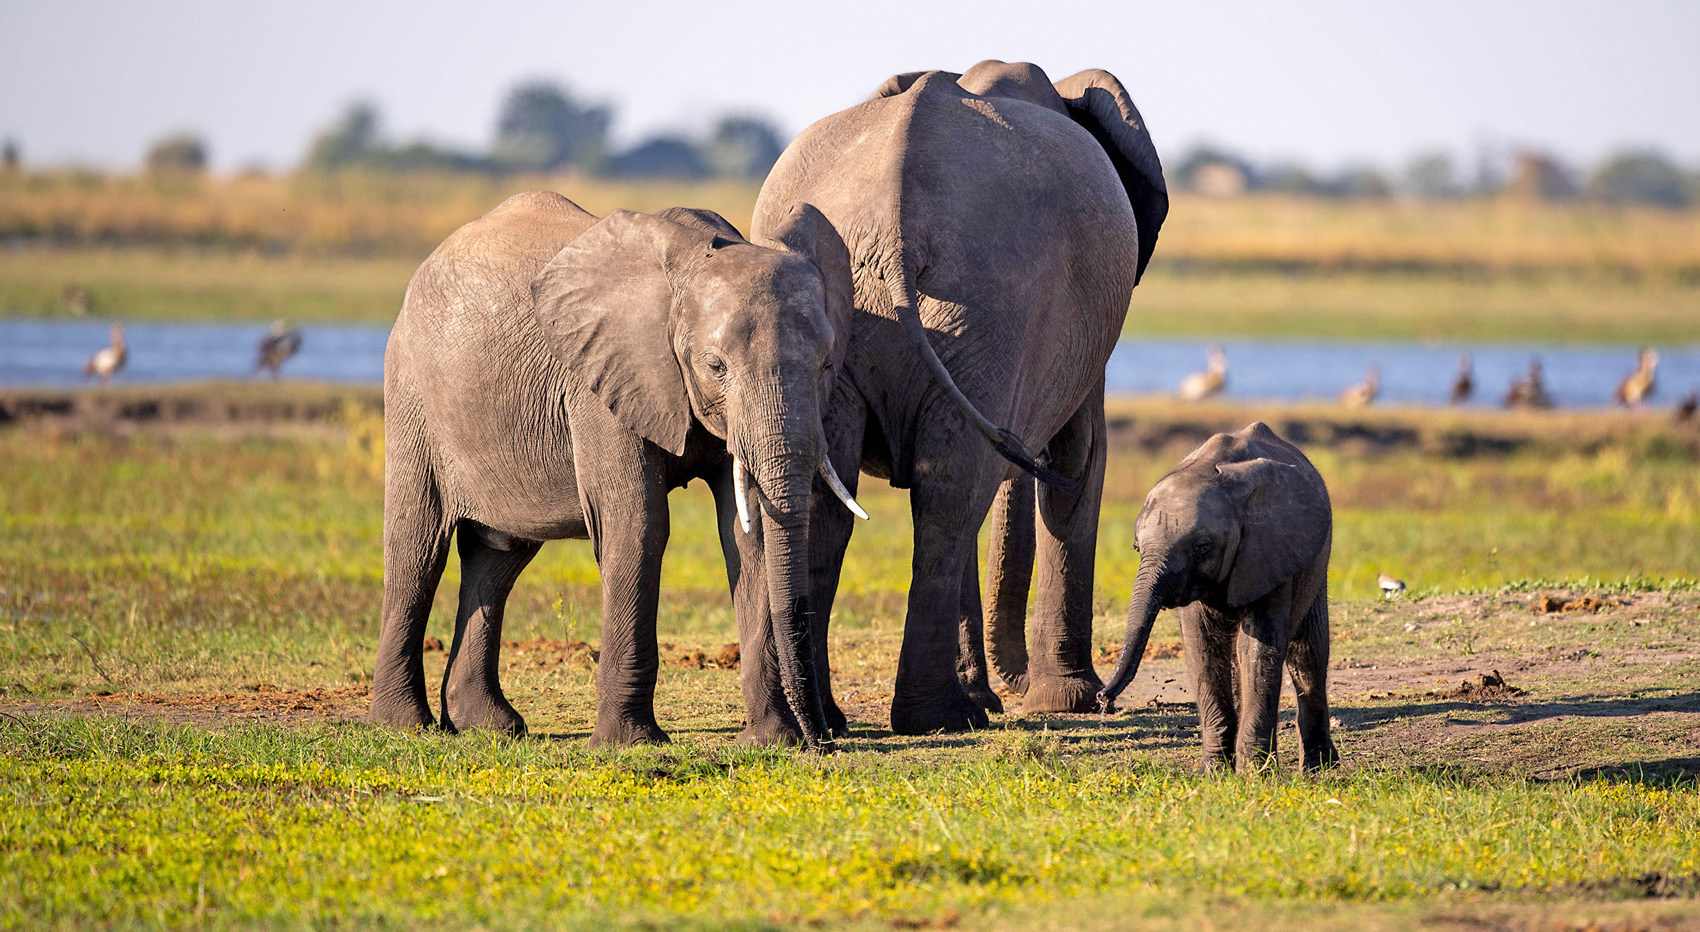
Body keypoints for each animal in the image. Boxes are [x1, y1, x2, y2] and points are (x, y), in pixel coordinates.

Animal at [368, 189, 860, 749]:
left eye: (826, 365)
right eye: (715, 366)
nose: (824, 739)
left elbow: (745, 532)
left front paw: (773, 742)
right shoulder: (598, 385)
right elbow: (638, 525)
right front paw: (631, 743)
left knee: (497, 558)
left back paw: (491, 726)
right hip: (411, 393)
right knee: (417, 549)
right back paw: (406, 725)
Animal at [749, 60, 1168, 736]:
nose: (1010, 685)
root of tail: (895, 222)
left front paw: (1009, 700)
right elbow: (1079, 462)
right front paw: (1069, 704)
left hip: (930, 315)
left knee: (891, 488)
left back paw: (869, 719)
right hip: (991, 304)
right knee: (954, 489)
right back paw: (942, 717)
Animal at [1098, 422, 1338, 773]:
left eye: (1202, 547)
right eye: (1136, 548)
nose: (1103, 699)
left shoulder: (1270, 548)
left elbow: (1258, 649)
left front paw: (1254, 774)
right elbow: (1203, 648)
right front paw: (1214, 772)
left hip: (1316, 560)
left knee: (1307, 654)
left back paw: (1320, 769)